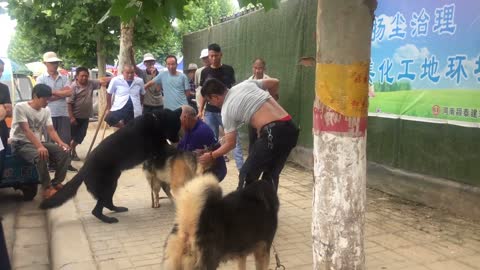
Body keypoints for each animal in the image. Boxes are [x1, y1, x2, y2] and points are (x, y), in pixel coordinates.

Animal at [39, 108, 182, 223]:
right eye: (177, 126)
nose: (178, 139)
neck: (156, 121)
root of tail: (84, 169)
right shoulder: (160, 148)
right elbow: (173, 149)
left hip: (112, 183)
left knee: (107, 203)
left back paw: (117, 209)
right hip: (106, 186)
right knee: (96, 210)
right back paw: (108, 220)